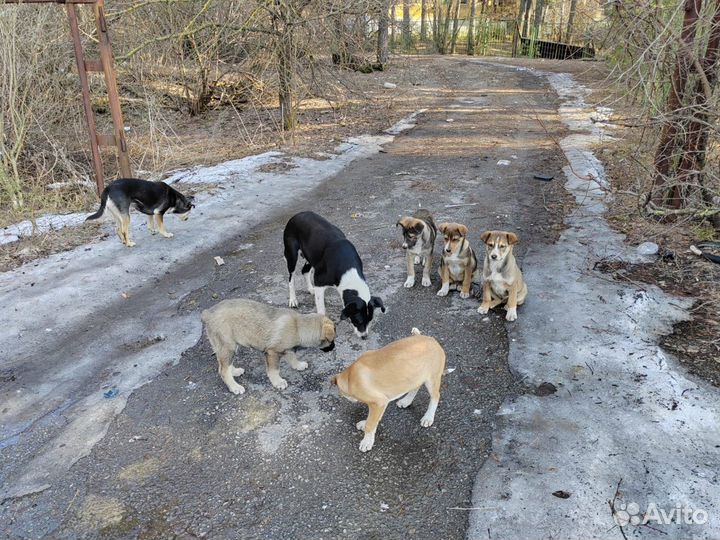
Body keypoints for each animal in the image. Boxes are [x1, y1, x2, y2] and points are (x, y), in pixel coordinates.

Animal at [201, 298, 336, 394]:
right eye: (331, 340)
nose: (334, 347)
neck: (298, 326)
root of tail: (207, 313)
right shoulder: (272, 352)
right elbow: (274, 370)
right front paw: (278, 382)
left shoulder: (287, 349)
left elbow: (292, 357)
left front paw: (298, 365)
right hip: (228, 346)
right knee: (223, 370)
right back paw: (235, 387)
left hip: (229, 346)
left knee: (224, 365)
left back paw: (235, 371)